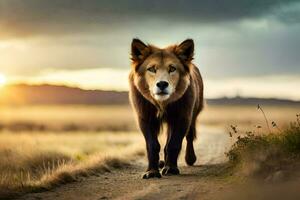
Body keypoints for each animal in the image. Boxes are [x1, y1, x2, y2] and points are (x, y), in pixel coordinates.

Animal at [129, 38, 204, 178]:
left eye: (172, 68)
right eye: (152, 69)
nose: (162, 84)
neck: (162, 103)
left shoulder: (182, 117)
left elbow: (173, 144)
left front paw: (171, 168)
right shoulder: (145, 118)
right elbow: (152, 145)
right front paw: (152, 172)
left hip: (193, 115)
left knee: (189, 137)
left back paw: (190, 159)